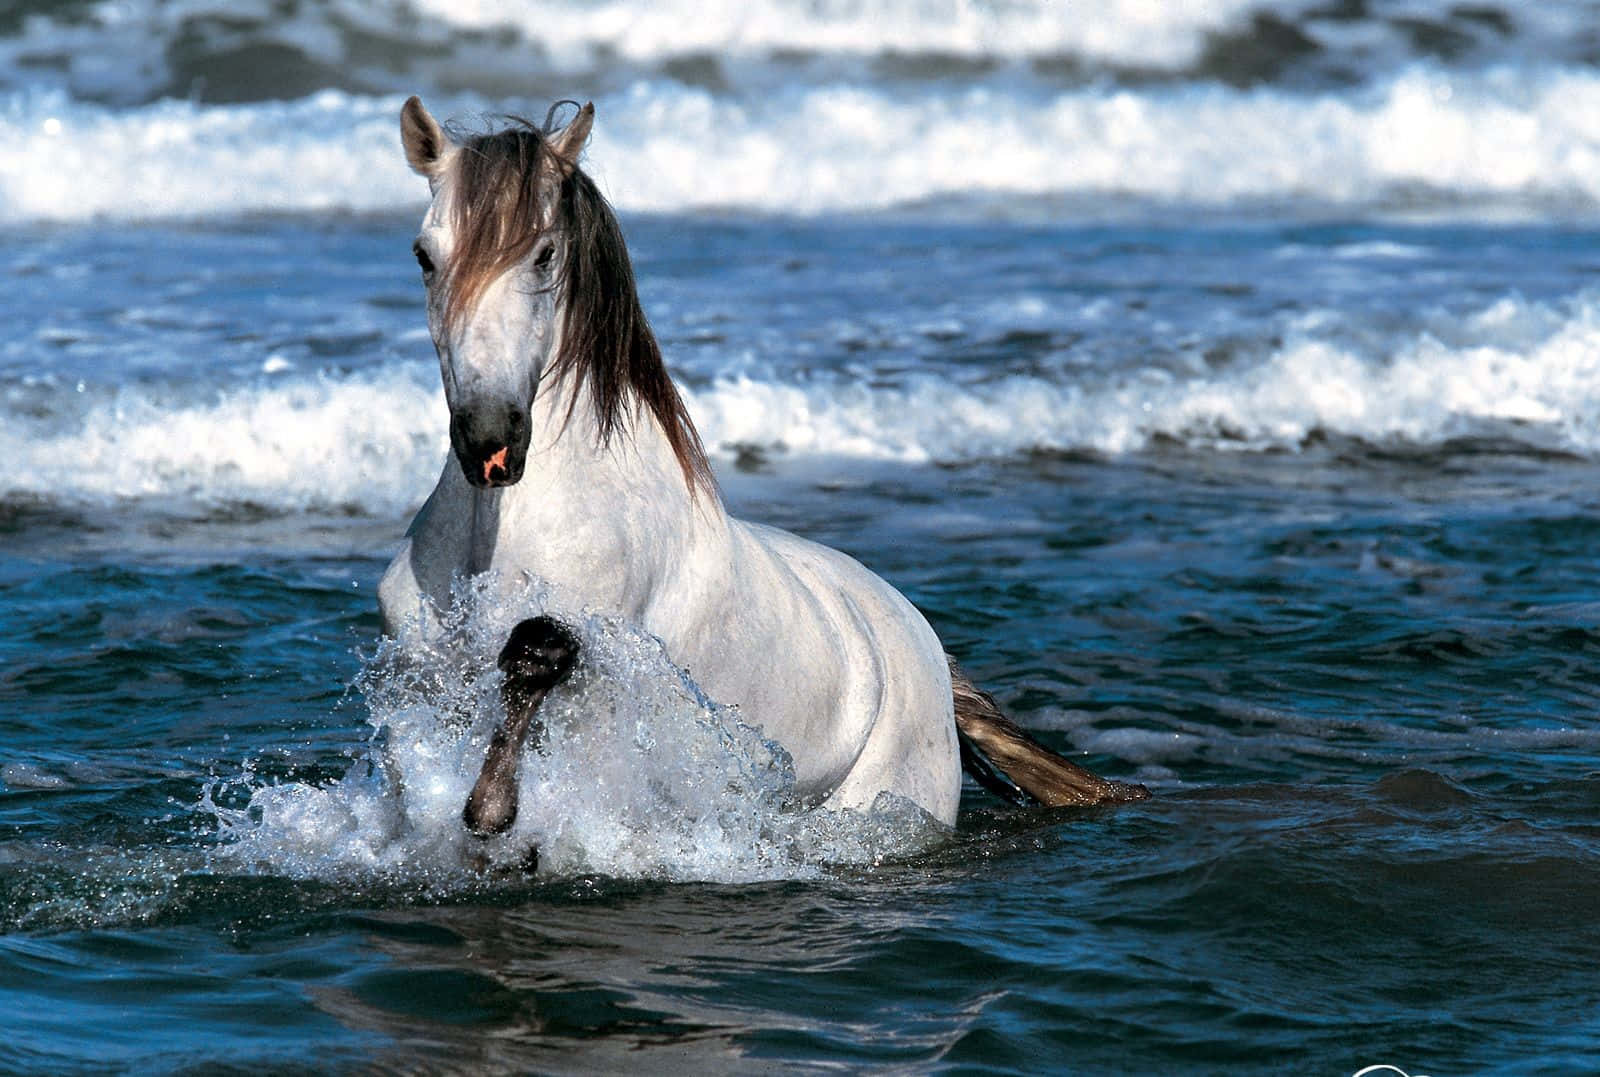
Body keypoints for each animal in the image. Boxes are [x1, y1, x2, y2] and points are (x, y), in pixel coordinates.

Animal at [377, 97, 1148, 832]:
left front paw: (491, 811)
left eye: (544, 254)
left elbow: (537, 655)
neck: (497, 531)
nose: (490, 439)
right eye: (422, 255)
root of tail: (927, 647)